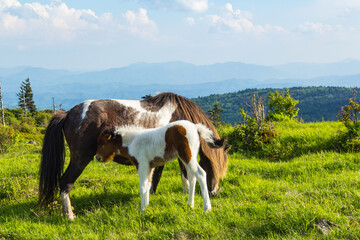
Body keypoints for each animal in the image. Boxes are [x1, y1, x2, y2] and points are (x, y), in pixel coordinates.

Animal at [95, 120, 225, 212]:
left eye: (102, 144)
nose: (98, 158)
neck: (133, 141)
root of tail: (195, 127)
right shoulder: (150, 167)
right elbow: (148, 185)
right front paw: (146, 207)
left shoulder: (142, 165)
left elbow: (142, 187)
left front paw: (142, 210)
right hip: (187, 158)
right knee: (192, 178)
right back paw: (190, 205)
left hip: (187, 156)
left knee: (201, 174)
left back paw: (207, 208)